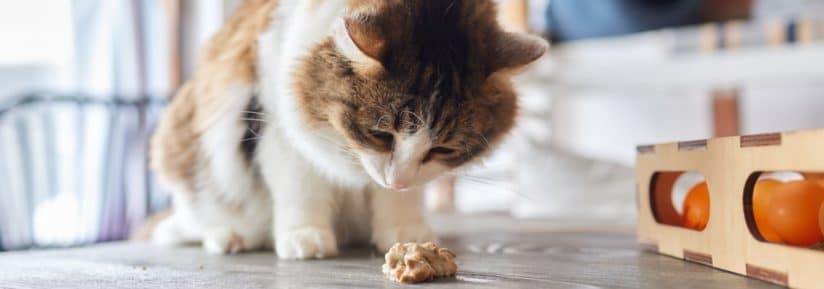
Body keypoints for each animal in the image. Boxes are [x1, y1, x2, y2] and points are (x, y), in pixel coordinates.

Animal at [148, 0, 548, 258]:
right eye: (380, 134)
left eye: (442, 149)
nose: (397, 180)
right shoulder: (277, 127)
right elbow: (301, 191)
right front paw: (305, 239)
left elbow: (399, 200)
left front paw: (403, 233)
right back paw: (231, 237)